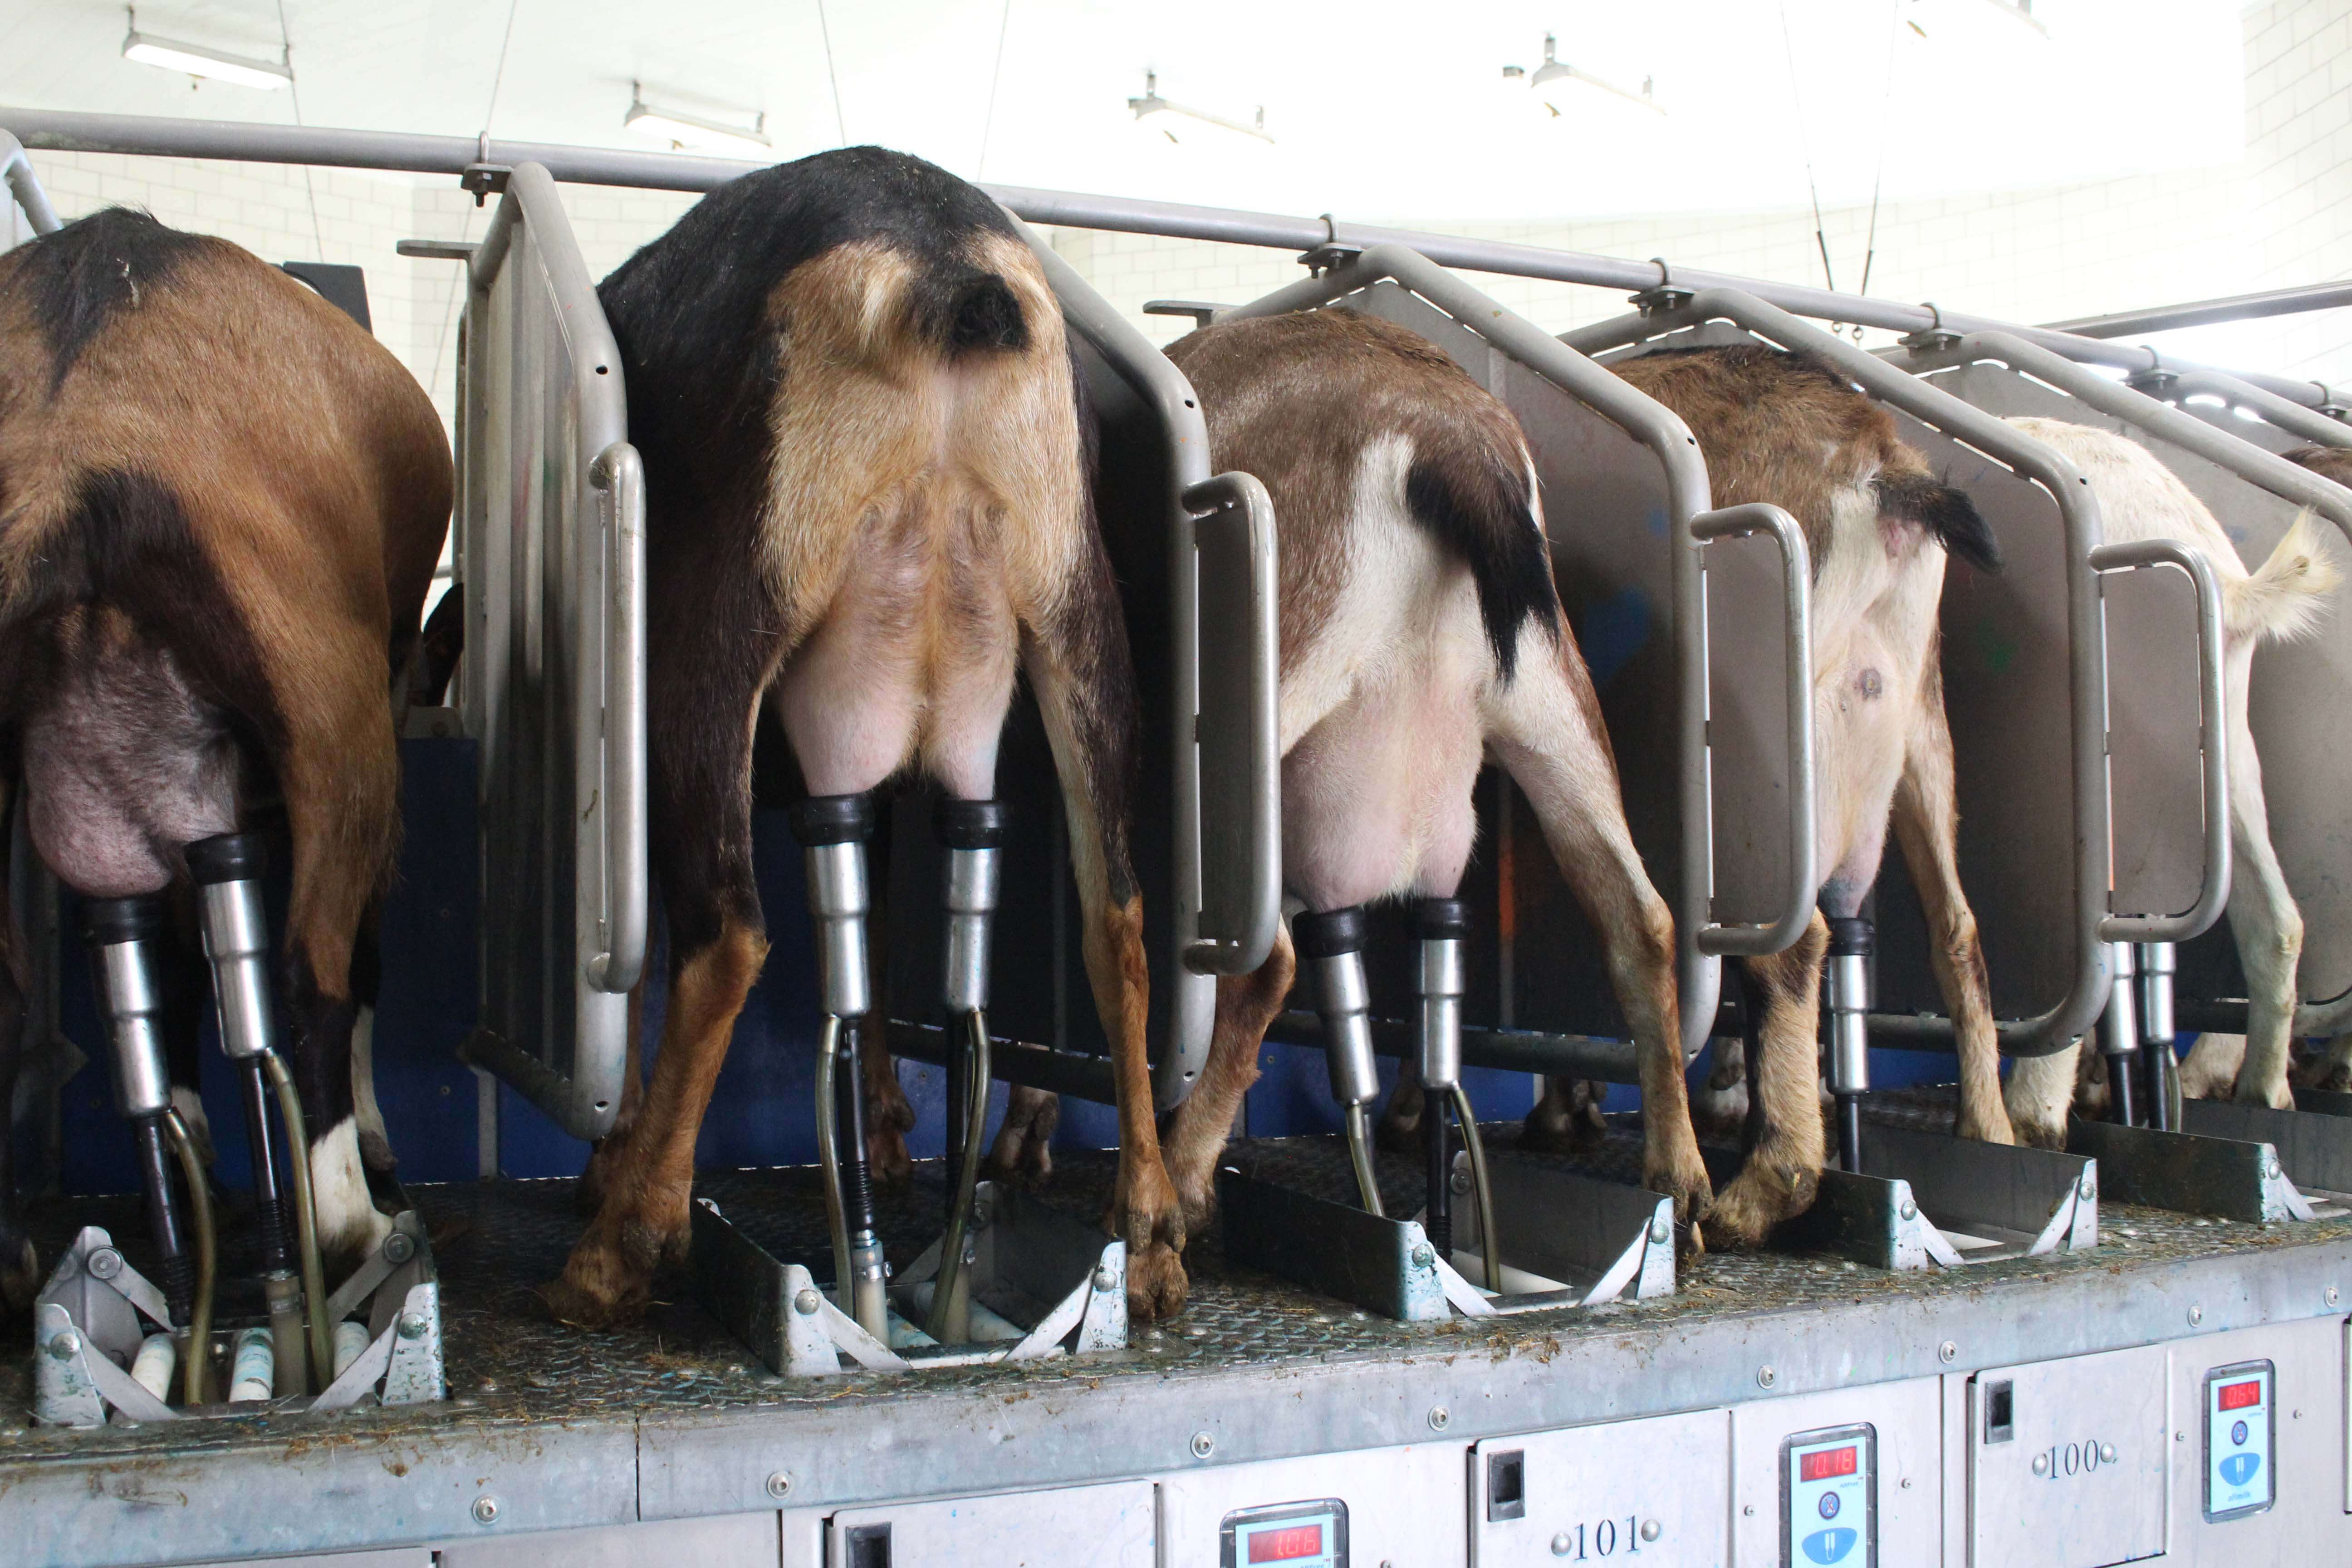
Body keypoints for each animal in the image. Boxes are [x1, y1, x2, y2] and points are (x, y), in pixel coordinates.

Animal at [543, 147, 1185, 1326]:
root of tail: (935, 275)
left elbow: (654, 950)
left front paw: (613, 1160)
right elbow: (879, 928)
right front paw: (884, 1131)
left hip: (718, 631)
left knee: (727, 933)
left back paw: (623, 1246)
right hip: (1077, 617)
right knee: (1115, 918)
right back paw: (1153, 1235)